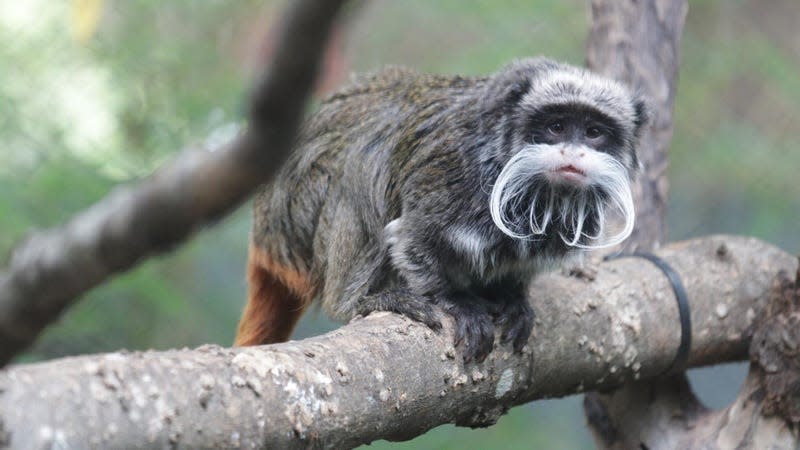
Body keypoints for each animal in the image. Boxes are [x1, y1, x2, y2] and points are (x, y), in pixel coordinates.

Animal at [236, 58, 648, 364]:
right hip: (296, 216)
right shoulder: (451, 176)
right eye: (556, 126)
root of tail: (264, 232)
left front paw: (513, 297)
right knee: (361, 166)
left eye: (594, 132)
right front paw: (456, 302)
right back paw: (360, 299)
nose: (574, 152)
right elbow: (411, 239)